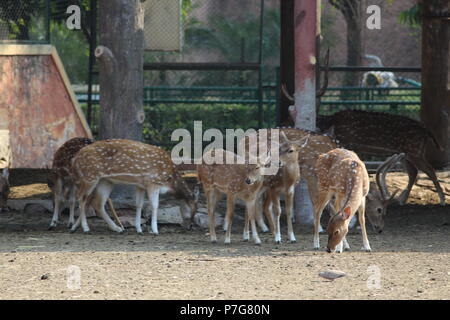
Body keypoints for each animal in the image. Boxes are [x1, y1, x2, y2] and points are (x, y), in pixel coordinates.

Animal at [69, 139, 198, 234]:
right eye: (193, 209)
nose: (189, 227)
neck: (169, 180)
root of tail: (75, 159)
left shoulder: (140, 185)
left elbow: (139, 205)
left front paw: (139, 229)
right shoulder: (153, 181)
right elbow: (155, 205)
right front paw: (155, 230)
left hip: (105, 181)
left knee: (97, 203)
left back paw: (117, 228)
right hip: (90, 176)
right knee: (81, 198)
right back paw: (85, 228)